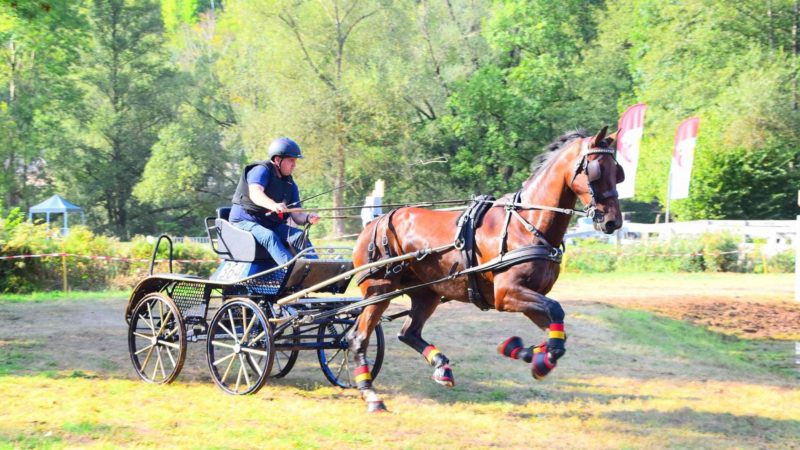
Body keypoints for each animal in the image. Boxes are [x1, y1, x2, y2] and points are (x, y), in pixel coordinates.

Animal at [350, 126, 624, 412]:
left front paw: (526, 352)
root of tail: (375, 222)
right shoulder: (506, 294)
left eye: (618, 172)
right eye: (596, 170)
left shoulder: (530, 295)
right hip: (379, 292)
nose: (613, 221)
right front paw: (537, 356)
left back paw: (441, 367)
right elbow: (556, 312)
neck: (527, 223)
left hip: (427, 293)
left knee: (408, 333)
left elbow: (555, 328)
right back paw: (371, 394)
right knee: (358, 338)